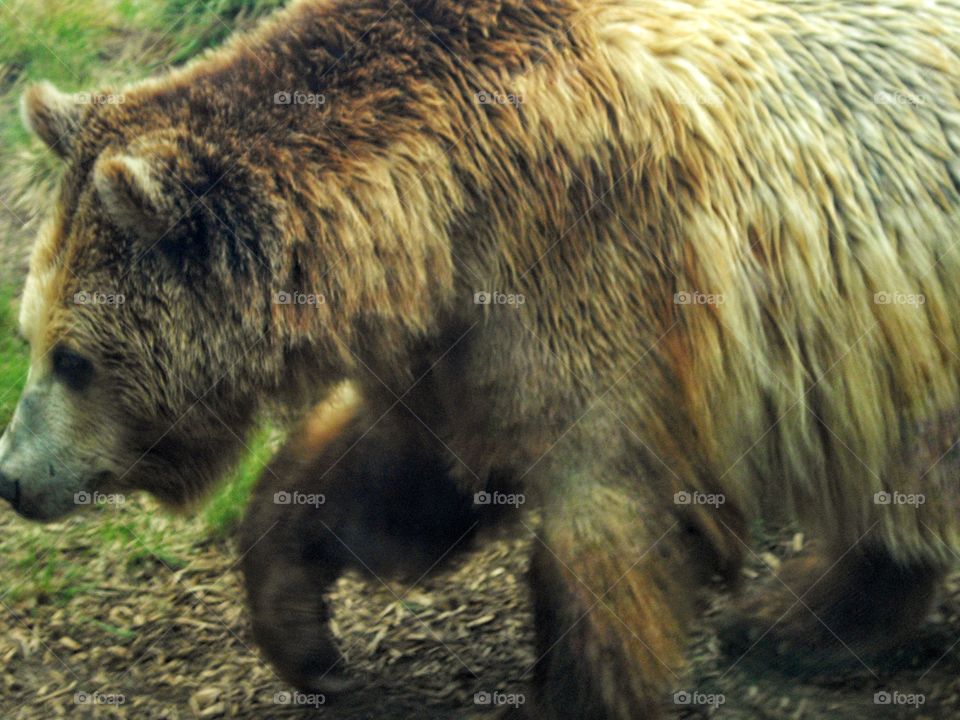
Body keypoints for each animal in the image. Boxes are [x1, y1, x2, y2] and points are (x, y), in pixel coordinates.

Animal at [1, 0, 959, 717]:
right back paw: (797, 616)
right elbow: (397, 476)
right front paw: (304, 636)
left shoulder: (594, 268)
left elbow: (605, 523)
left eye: (73, 359)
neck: (442, 204)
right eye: (28, 333)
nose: (12, 476)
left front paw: (572, 689)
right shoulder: (460, 332)